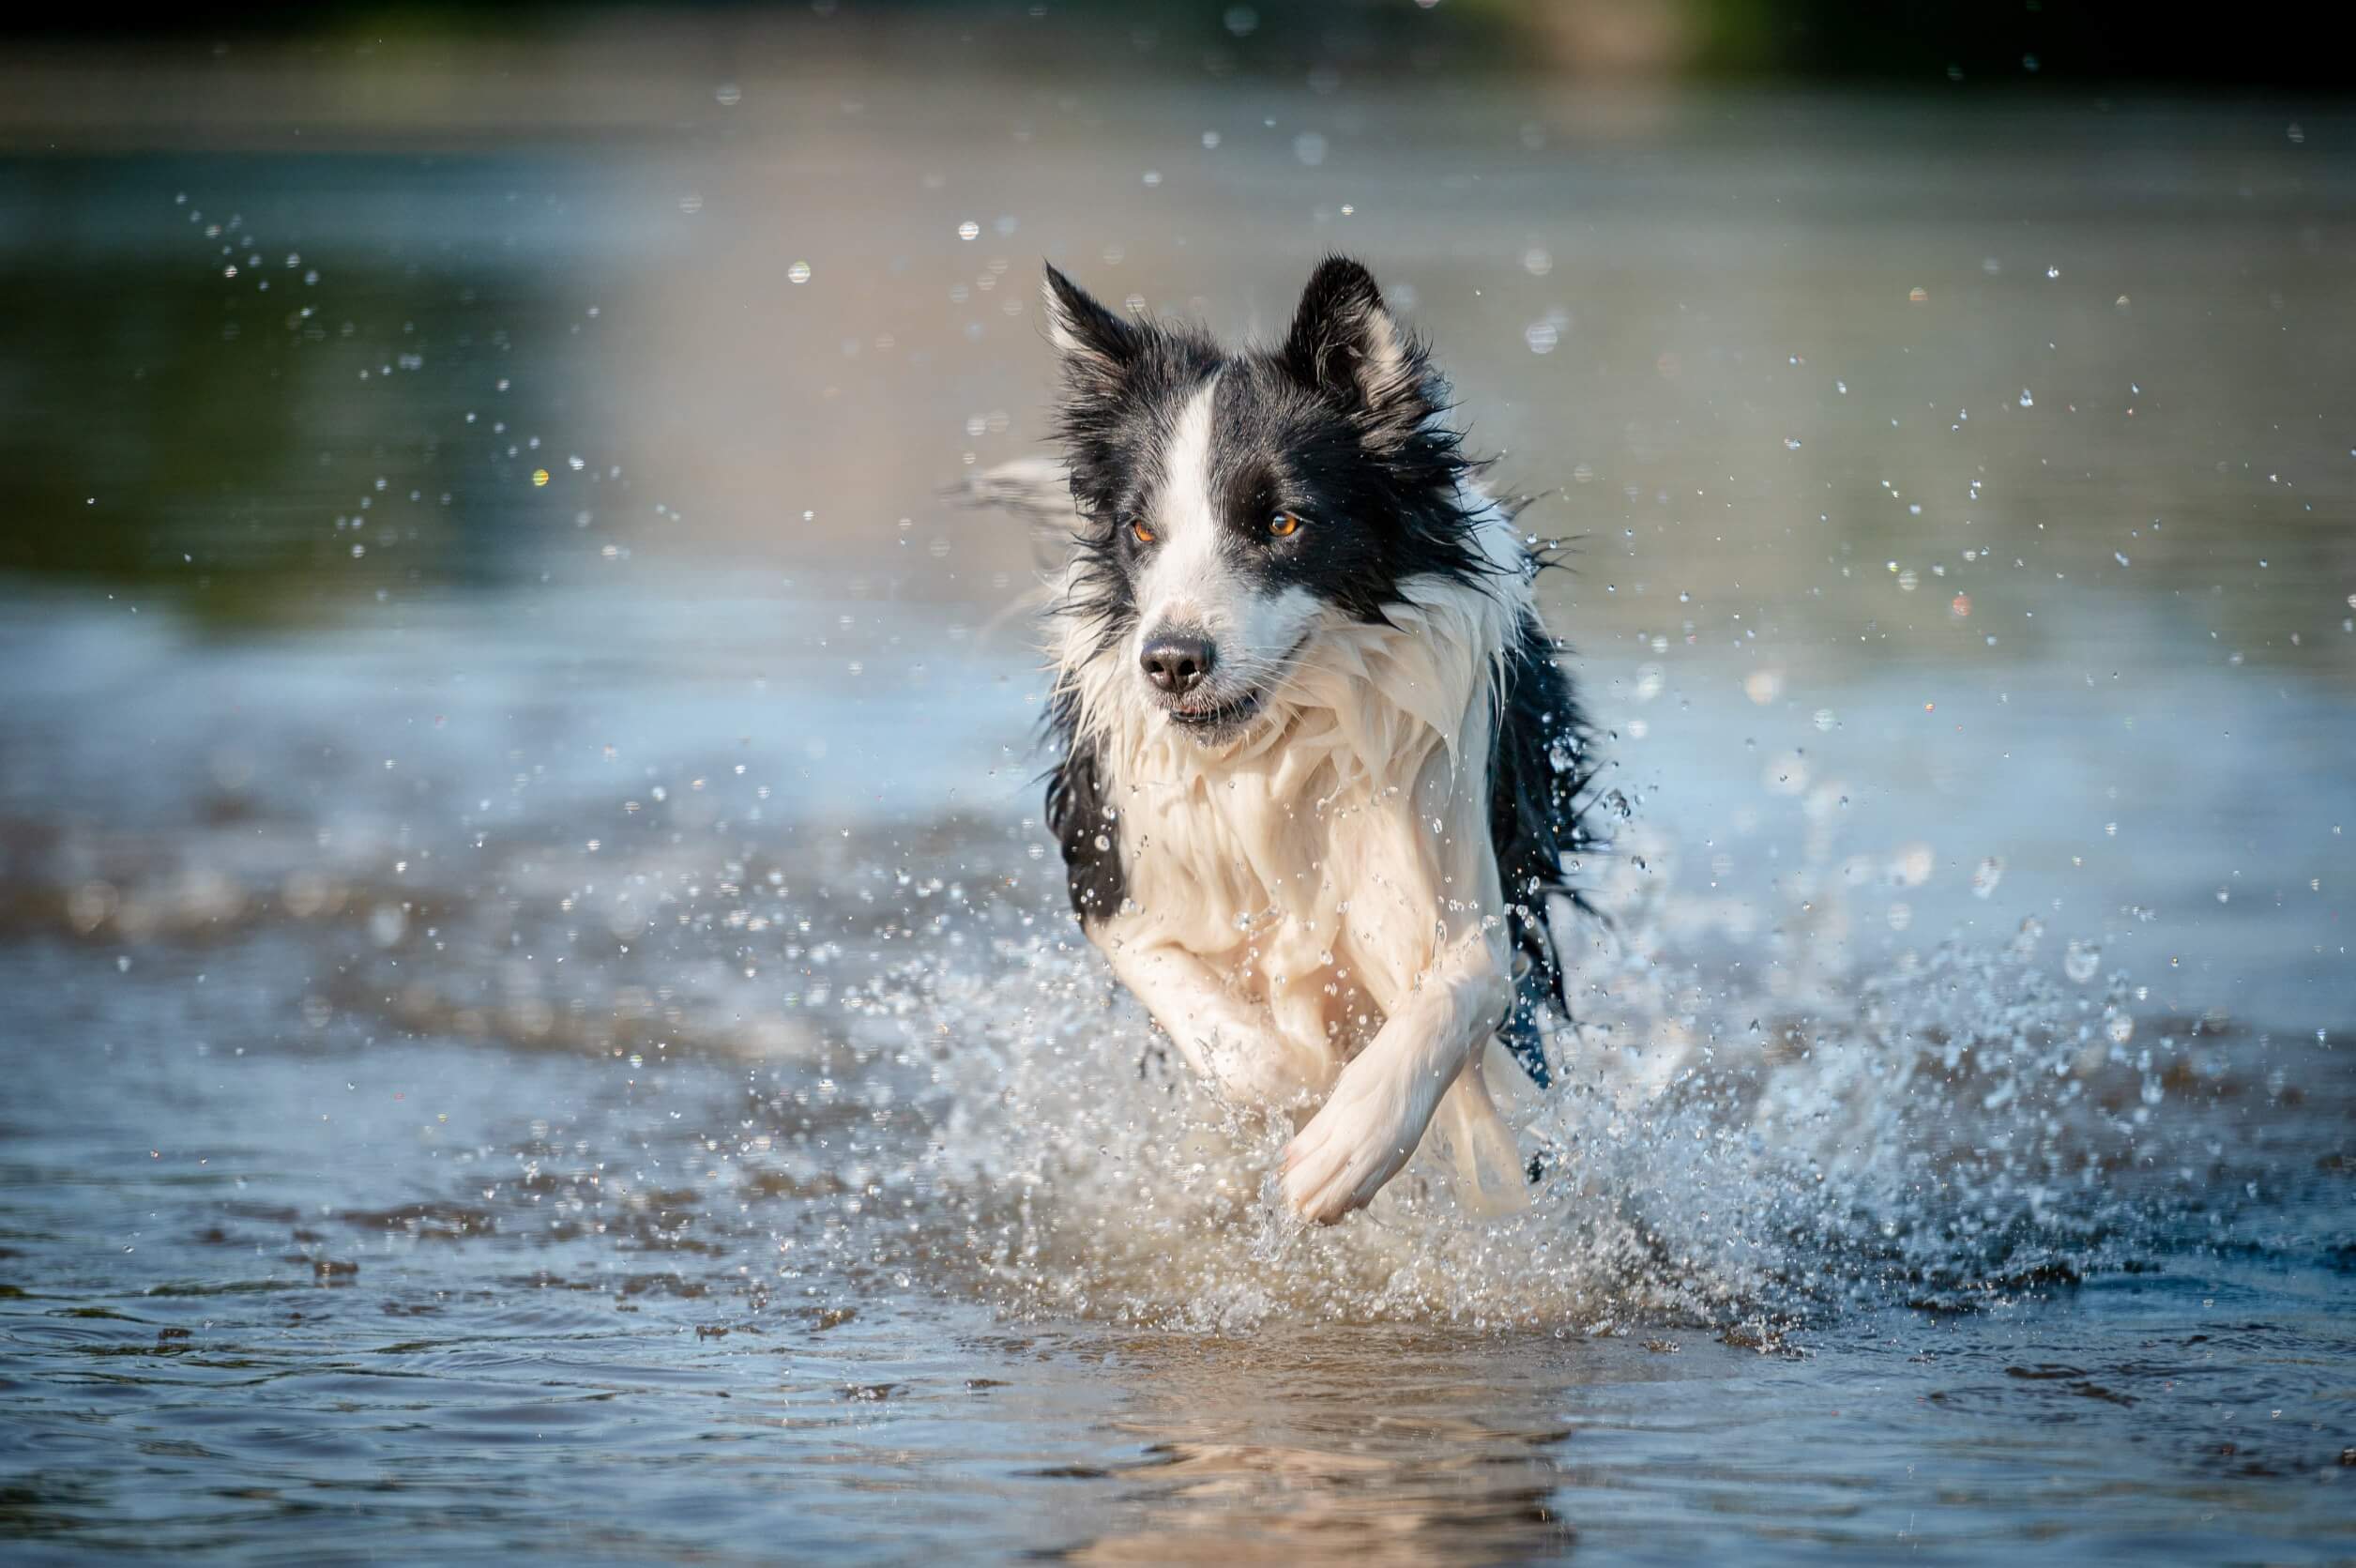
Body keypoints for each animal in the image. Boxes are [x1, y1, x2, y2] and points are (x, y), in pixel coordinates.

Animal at [975, 259, 1602, 1225]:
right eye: (1141, 531)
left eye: (1280, 523)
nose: (1170, 662)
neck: (1279, 745)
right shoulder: (1107, 856)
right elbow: (1217, 1026)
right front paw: (1297, 1089)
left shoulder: (1459, 850)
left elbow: (1467, 982)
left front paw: (1347, 1145)